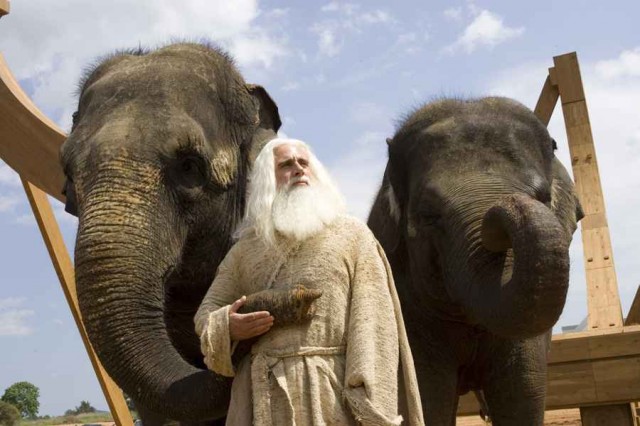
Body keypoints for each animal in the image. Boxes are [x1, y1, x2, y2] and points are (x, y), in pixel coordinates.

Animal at [368, 97, 584, 426]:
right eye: (429, 215)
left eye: (543, 197)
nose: (504, 207)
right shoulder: (408, 305)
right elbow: (427, 397)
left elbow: (521, 395)